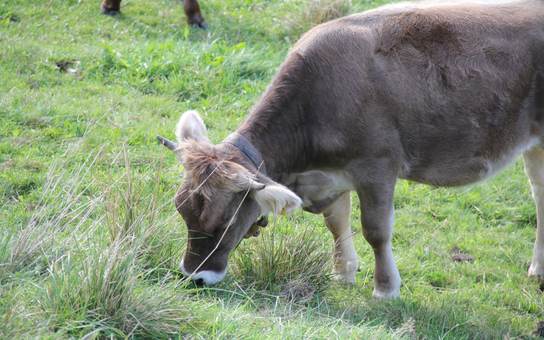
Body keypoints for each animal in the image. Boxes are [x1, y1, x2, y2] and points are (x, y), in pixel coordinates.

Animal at [156, 0, 544, 298]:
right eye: (181, 210)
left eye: (224, 222)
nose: (193, 277)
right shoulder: (329, 175)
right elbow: (335, 221)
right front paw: (343, 272)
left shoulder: (378, 167)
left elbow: (375, 230)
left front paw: (385, 288)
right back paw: (538, 267)